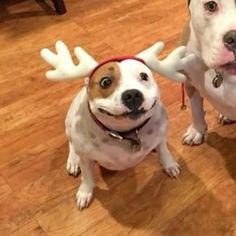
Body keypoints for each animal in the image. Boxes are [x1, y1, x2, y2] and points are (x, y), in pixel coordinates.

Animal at [41, 41, 195, 210]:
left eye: (144, 76)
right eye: (105, 82)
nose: (132, 94)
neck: (126, 133)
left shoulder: (161, 136)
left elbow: (164, 151)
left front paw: (169, 164)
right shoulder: (86, 158)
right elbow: (87, 178)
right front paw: (85, 192)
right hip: (69, 125)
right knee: (72, 145)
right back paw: (73, 161)